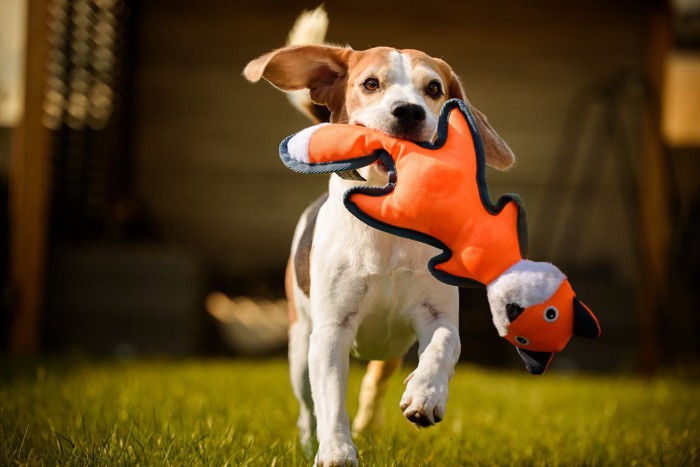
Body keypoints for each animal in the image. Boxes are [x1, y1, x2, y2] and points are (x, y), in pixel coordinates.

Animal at [242, 5, 516, 466]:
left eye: (434, 88)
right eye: (370, 84)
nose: (409, 112)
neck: (387, 215)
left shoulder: (436, 314)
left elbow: (443, 345)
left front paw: (426, 395)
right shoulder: (330, 332)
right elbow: (330, 402)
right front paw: (336, 451)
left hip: (388, 351)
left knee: (374, 384)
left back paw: (372, 422)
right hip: (299, 347)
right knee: (307, 407)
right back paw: (312, 441)